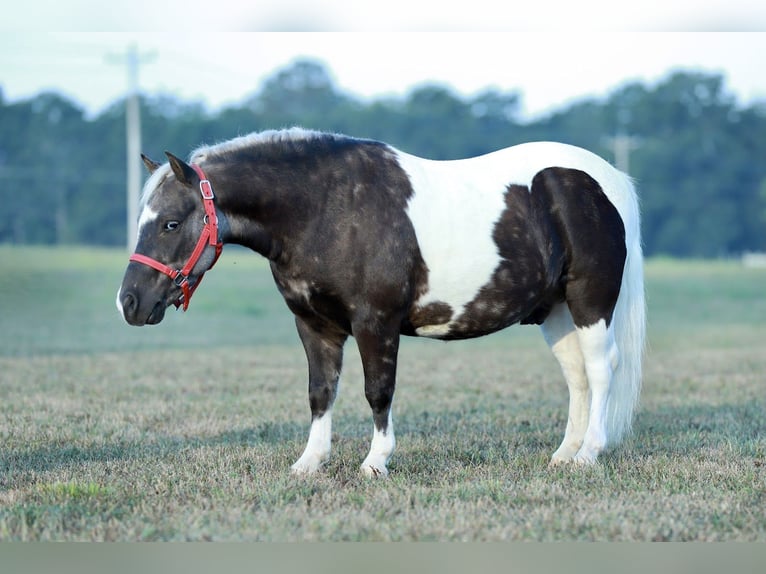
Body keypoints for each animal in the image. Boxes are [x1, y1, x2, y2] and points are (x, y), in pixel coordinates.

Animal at [116, 128, 645, 478]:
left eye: (169, 223)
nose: (130, 303)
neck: (325, 207)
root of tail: (606, 178)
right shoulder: (314, 325)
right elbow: (320, 392)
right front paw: (310, 462)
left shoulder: (376, 323)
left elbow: (378, 392)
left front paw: (375, 462)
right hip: (556, 312)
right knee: (577, 377)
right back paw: (564, 454)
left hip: (590, 302)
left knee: (601, 371)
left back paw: (588, 454)